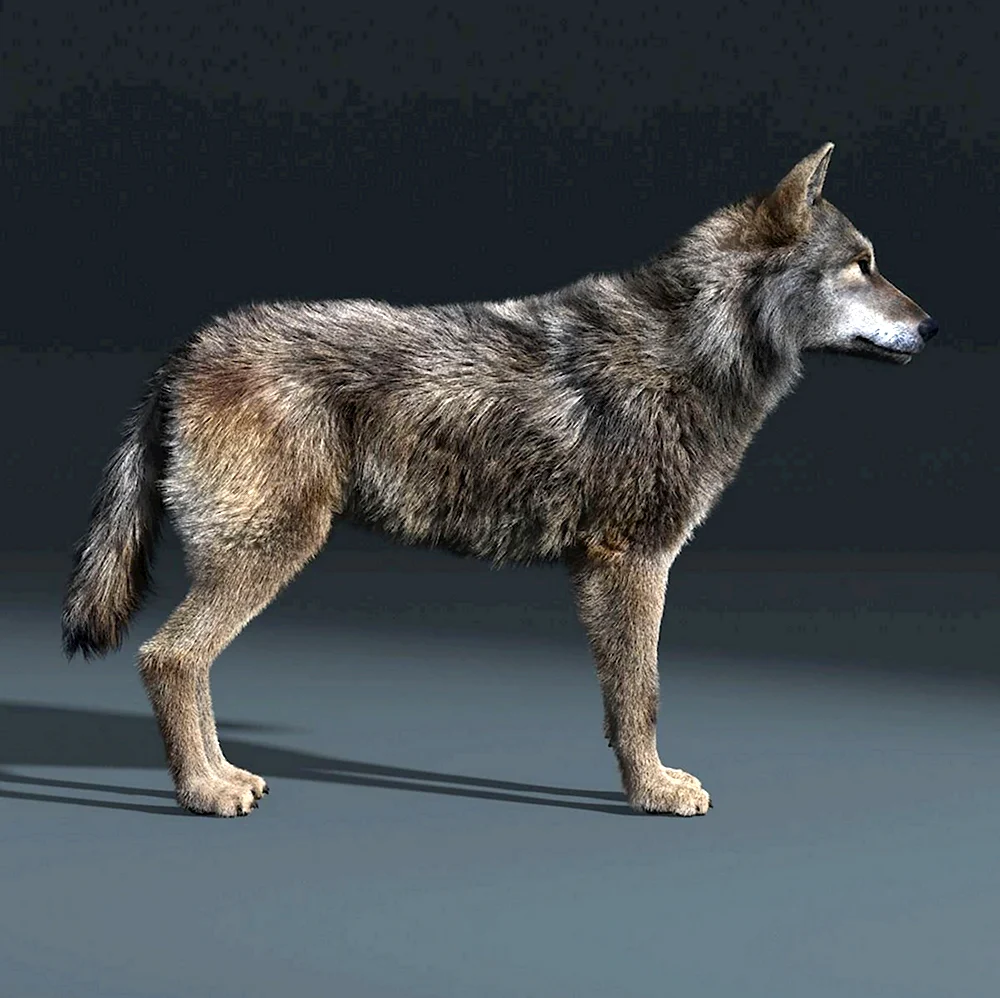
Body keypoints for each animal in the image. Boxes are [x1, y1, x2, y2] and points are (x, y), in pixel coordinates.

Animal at [61, 143, 937, 818]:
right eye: (861, 265)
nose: (933, 326)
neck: (693, 345)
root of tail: (185, 352)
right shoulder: (633, 564)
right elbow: (642, 697)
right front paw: (653, 793)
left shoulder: (611, 569)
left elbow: (628, 701)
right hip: (269, 552)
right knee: (170, 658)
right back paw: (205, 793)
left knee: (188, 661)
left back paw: (223, 776)